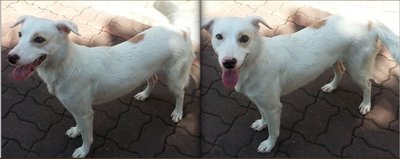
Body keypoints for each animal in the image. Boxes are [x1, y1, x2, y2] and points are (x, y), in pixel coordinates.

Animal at [6, 11, 194, 158]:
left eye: (39, 39)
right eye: (19, 35)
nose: (10, 57)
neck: (64, 64)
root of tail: (179, 30)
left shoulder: (86, 113)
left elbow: (87, 137)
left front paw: (83, 150)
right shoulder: (76, 109)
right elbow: (79, 126)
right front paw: (76, 131)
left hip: (173, 79)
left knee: (181, 94)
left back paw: (178, 113)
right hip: (150, 71)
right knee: (153, 80)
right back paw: (144, 95)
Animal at [202, 15, 398, 153]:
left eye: (244, 38)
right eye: (218, 36)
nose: (229, 63)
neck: (256, 60)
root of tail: (368, 21)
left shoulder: (274, 107)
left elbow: (273, 130)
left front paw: (269, 144)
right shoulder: (260, 101)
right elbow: (263, 116)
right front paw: (261, 123)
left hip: (357, 68)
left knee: (368, 85)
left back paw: (366, 105)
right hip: (335, 60)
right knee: (340, 72)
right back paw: (331, 86)